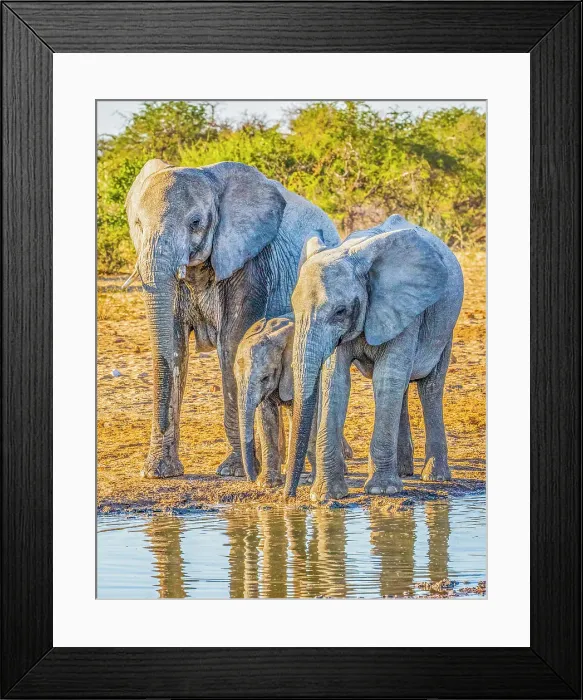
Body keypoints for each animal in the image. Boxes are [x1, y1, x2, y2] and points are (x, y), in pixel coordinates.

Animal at [124, 159, 340, 478]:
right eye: (138, 224)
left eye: (196, 222)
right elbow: (175, 346)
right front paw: (158, 471)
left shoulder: (251, 264)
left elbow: (231, 342)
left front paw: (234, 470)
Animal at [283, 214, 464, 503]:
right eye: (293, 308)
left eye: (340, 311)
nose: (287, 497)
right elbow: (336, 380)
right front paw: (324, 496)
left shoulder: (405, 309)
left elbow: (386, 377)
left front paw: (383, 490)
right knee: (400, 387)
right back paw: (404, 471)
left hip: (445, 326)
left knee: (428, 388)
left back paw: (433, 477)